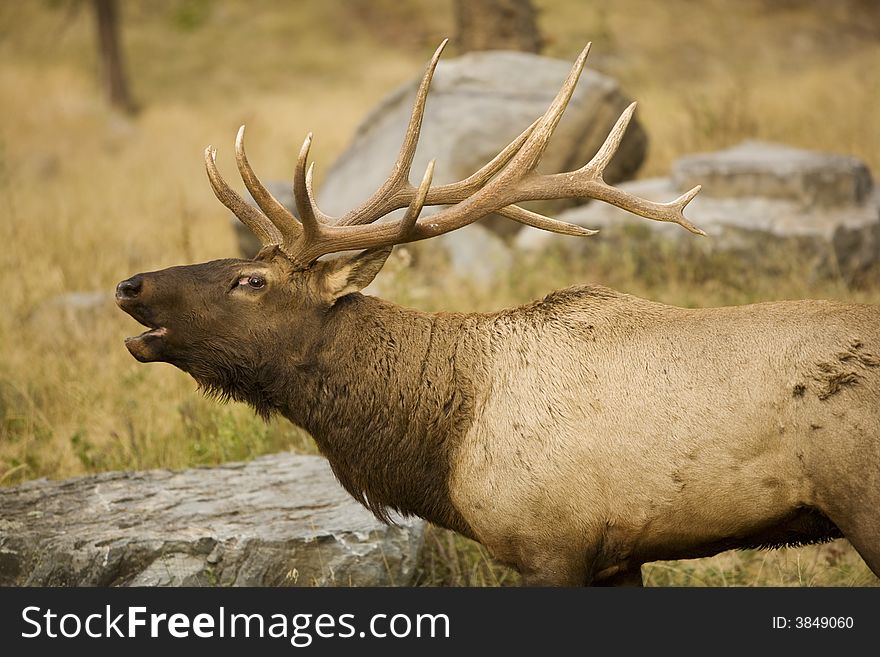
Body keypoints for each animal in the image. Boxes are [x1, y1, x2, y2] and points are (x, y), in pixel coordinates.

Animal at [118, 41, 880, 584]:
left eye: (250, 279)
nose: (131, 285)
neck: (442, 443)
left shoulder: (552, 544)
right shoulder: (618, 557)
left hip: (863, 502)